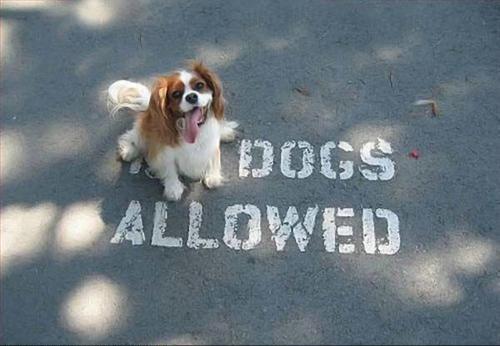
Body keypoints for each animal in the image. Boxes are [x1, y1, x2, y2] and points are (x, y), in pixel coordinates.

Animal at [107, 59, 238, 200]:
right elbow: (169, 166)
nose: (191, 96)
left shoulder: (211, 142)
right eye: (176, 94)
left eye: (199, 85)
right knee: (131, 135)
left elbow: (214, 155)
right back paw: (128, 150)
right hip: (142, 132)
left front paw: (212, 175)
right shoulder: (163, 149)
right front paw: (173, 187)